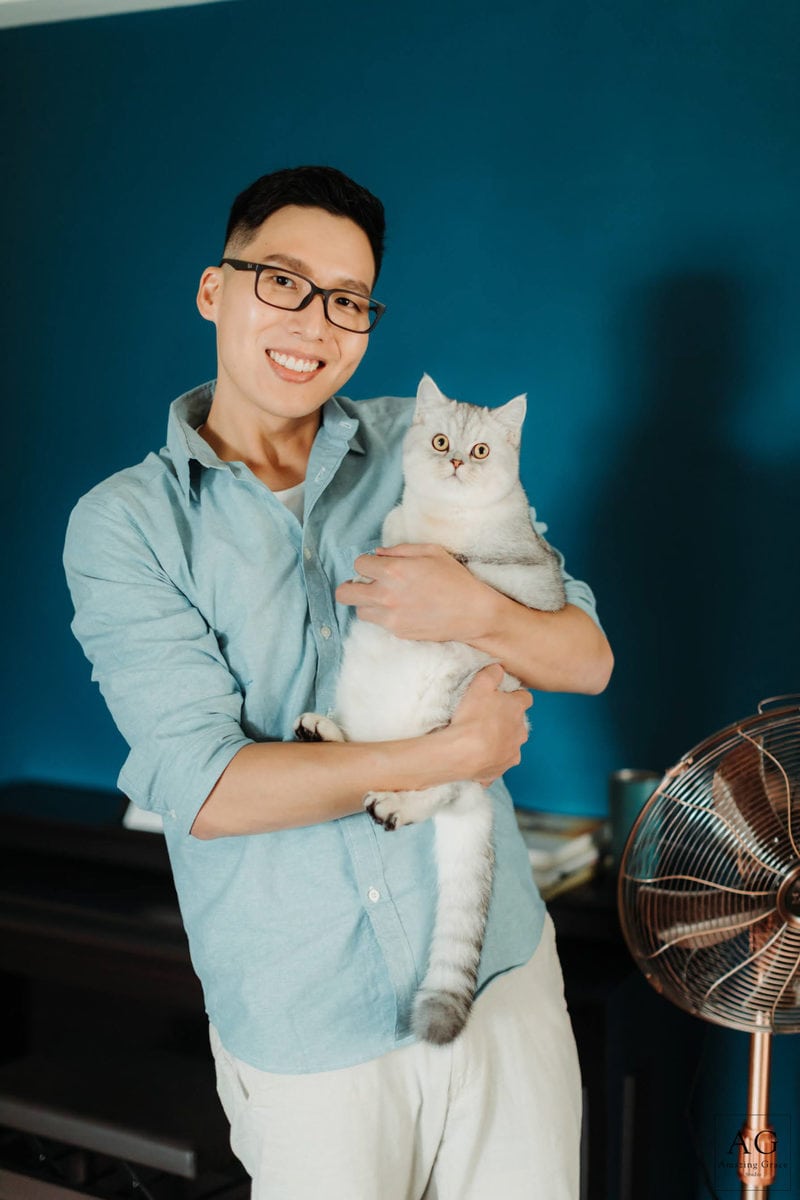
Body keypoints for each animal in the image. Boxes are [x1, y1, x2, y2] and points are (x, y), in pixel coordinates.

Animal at [295, 373, 566, 1044]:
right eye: (442, 441)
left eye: (480, 452)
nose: (456, 463)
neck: (442, 517)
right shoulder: (395, 532)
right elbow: (392, 538)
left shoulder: (531, 576)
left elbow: (475, 573)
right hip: (368, 697)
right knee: (373, 752)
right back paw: (324, 732)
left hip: (452, 714)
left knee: (441, 783)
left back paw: (398, 804)